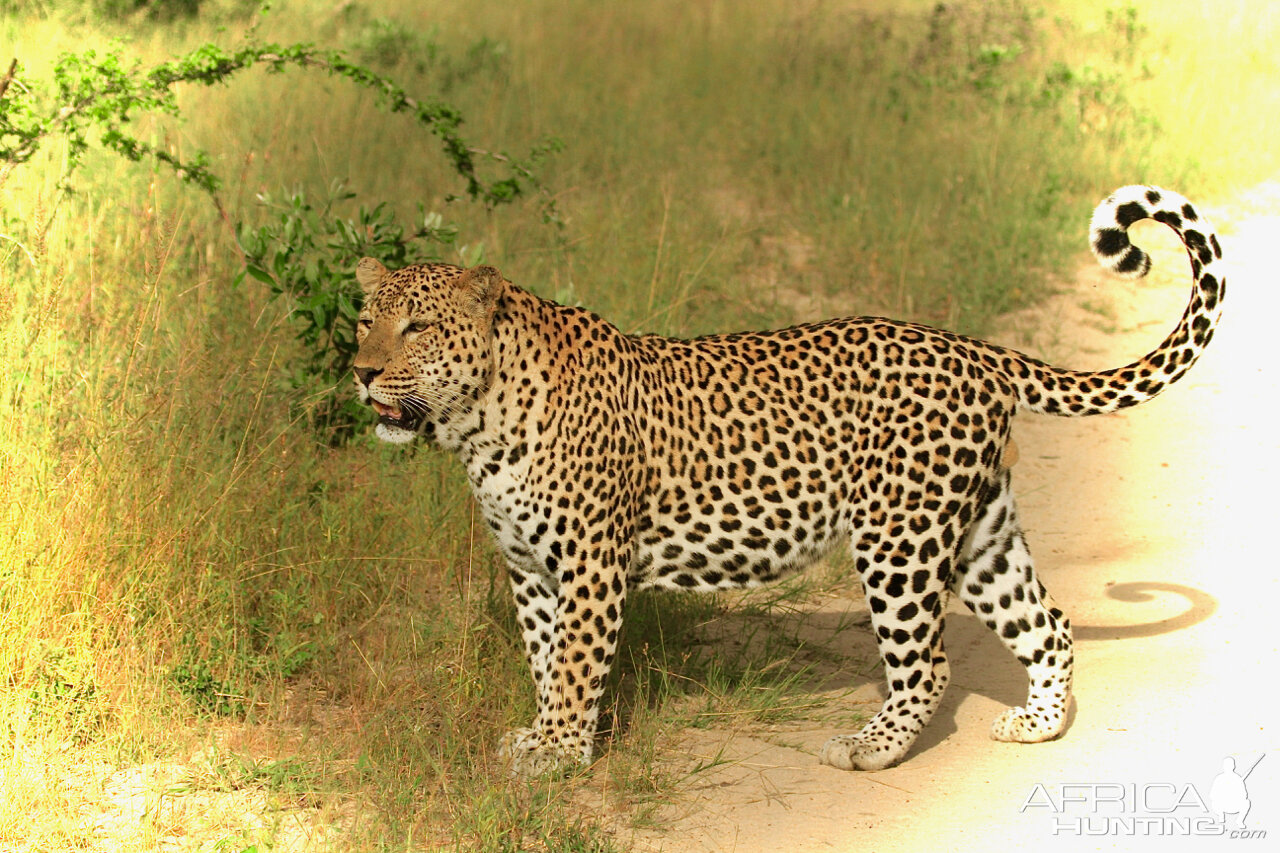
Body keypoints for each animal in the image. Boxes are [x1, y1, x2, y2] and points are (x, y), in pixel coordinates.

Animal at [353, 185, 1228, 778]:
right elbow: (545, 659)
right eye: (365, 319)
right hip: (980, 530)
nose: (360, 372)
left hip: (900, 538)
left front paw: (560, 756)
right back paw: (1037, 725)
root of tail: (973, 347)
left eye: (418, 327)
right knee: (1049, 622)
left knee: (928, 662)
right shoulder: (532, 569)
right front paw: (541, 737)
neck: (477, 423)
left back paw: (869, 747)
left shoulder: (591, 565)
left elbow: (571, 666)